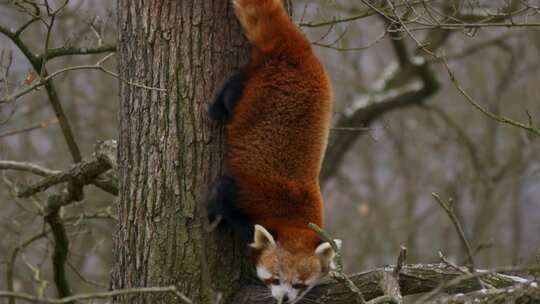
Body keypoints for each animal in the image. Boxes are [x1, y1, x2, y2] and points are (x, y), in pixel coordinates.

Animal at [209, 0, 340, 302]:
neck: (292, 218)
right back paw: (217, 108)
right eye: (275, 278)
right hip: (253, 84)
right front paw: (218, 216)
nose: (284, 299)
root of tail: (298, 49)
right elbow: (222, 193)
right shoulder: (249, 194)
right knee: (230, 96)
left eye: (300, 284)